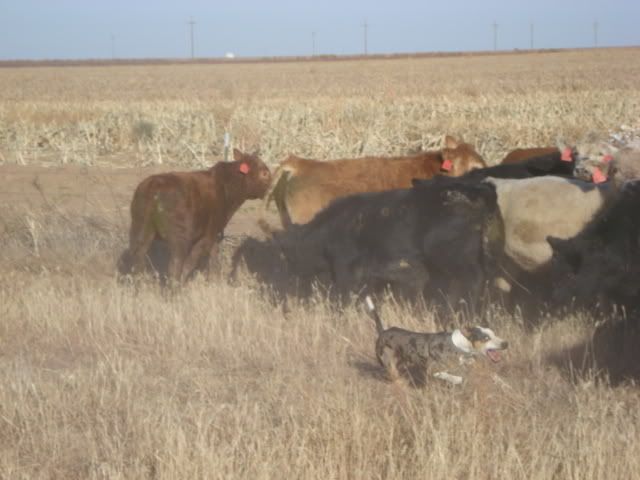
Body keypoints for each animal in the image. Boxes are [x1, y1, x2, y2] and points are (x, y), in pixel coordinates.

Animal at [118, 149, 271, 283]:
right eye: (264, 173)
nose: (272, 188)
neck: (226, 188)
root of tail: (154, 186)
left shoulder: (214, 235)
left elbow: (213, 258)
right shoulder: (208, 234)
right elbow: (193, 261)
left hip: (140, 228)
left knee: (137, 260)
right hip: (180, 237)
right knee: (174, 265)